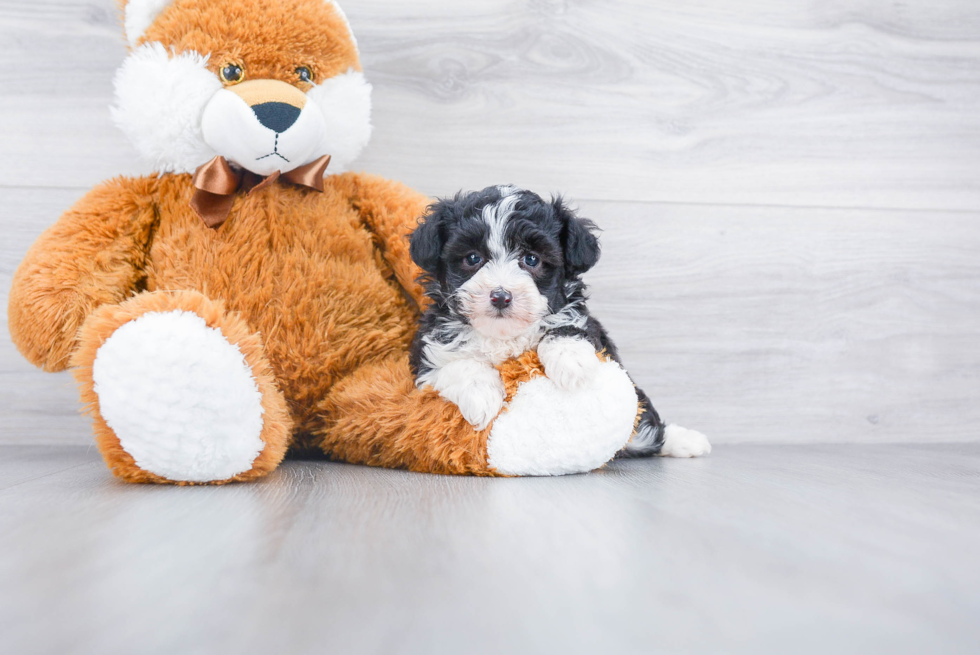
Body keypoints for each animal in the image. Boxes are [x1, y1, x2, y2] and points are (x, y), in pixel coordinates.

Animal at [408, 184, 688, 458]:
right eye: (473, 258)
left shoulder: (585, 325)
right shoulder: (427, 352)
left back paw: (684, 441)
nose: (500, 296)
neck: (504, 336)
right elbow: (455, 362)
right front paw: (481, 396)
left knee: (646, 429)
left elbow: (568, 327)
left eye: (531, 259)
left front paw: (572, 364)